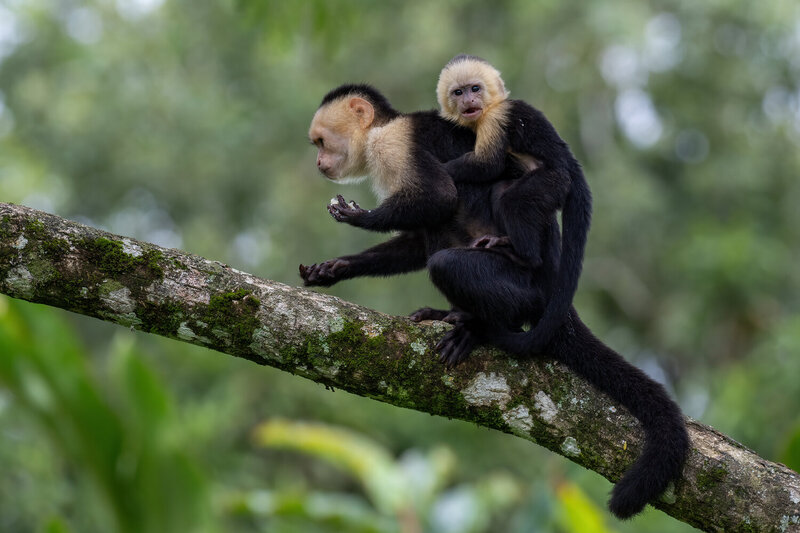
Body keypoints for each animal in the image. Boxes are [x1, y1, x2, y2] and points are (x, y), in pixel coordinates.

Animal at [434, 54, 593, 355]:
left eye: (475, 89)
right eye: (458, 92)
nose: (468, 101)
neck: (491, 107)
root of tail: (571, 165)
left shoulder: (495, 119)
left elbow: (488, 165)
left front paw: (437, 169)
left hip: (554, 181)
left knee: (514, 201)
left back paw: (524, 256)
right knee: (502, 192)